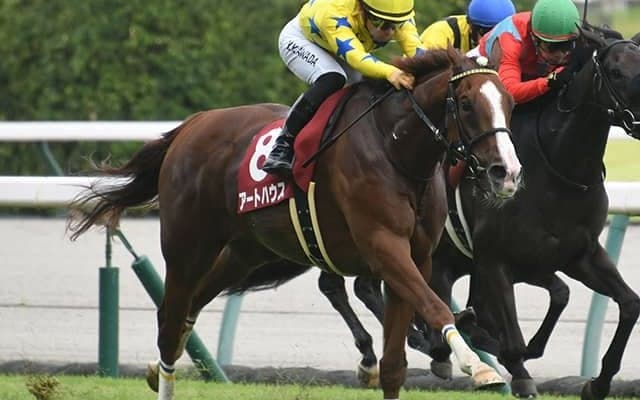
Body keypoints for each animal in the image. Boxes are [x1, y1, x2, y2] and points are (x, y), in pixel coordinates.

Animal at [67, 48, 522, 400]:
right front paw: (478, 366)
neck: (396, 148)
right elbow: (435, 305)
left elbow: (396, 362)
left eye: (510, 103)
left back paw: (153, 366)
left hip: (243, 252)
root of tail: (192, 125)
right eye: (467, 104)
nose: (507, 173)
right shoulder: (384, 246)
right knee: (169, 319)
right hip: (186, 248)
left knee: (188, 309)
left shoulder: (417, 255)